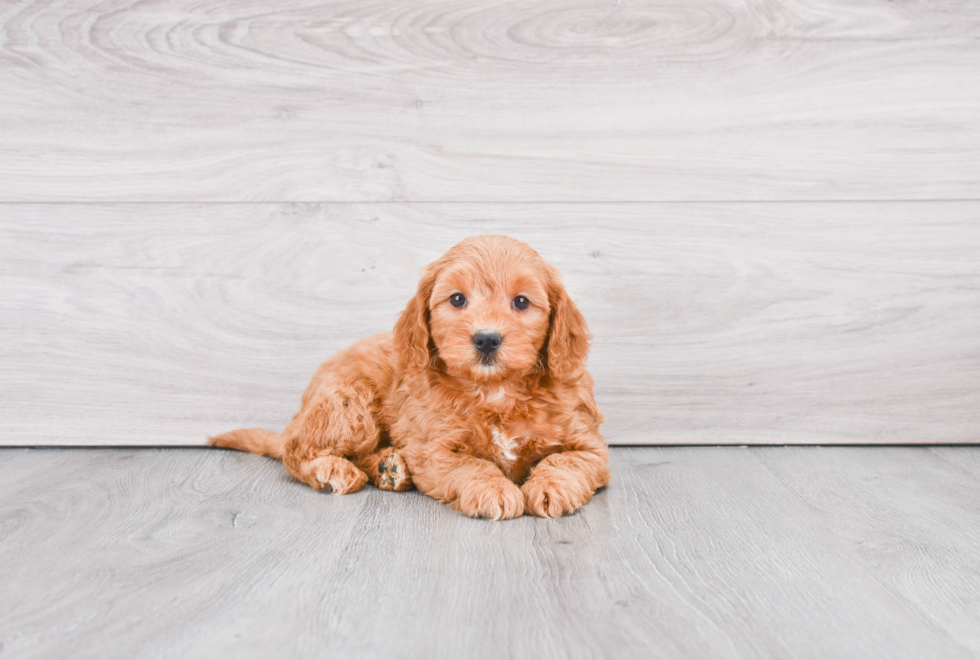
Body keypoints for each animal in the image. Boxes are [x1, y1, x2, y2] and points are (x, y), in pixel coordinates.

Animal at [211, 235, 608, 520]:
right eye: (457, 299)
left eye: (522, 302)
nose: (486, 339)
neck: (495, 390)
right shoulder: (434, 449)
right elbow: (471, 464)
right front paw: (493, 490)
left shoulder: (590, 446)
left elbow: (565, 460)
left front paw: (551, 487)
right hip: (350, 405)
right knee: (297, 452)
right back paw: (335, 469)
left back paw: (389, 468)